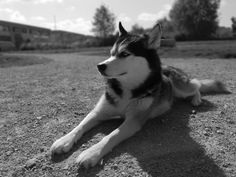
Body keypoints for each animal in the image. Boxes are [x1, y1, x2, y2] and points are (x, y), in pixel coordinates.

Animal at [49, 21, 230, 167]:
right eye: (111, 53)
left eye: (124, 54)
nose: (99, 66)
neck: (126, 90)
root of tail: (168, 67)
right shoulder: (98, 112)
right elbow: (81, 125)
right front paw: (64, 140)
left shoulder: (133, 121)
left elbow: (111, 136)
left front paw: (91, 152)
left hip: (181, 87)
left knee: (197, 84)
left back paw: (196, 99)